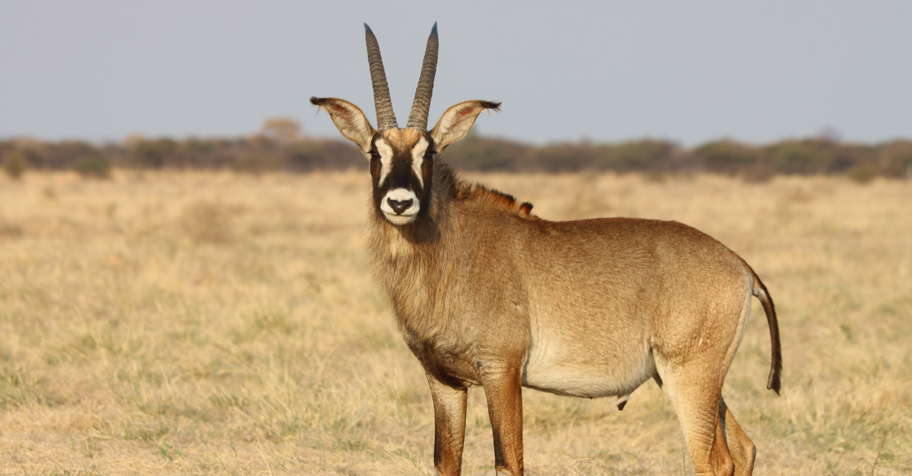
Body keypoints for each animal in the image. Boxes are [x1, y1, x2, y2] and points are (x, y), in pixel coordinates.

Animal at [311, 23, 782, 476]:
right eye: (375, 151)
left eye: (427, 152)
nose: (400, 202)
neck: (451, 251)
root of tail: (740, 267)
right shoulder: (443, 380)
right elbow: (447, 462)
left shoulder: (501, 370)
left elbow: (508, 461)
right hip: (691, 379)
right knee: (743, 448)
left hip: (689, 375)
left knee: (714, 460)